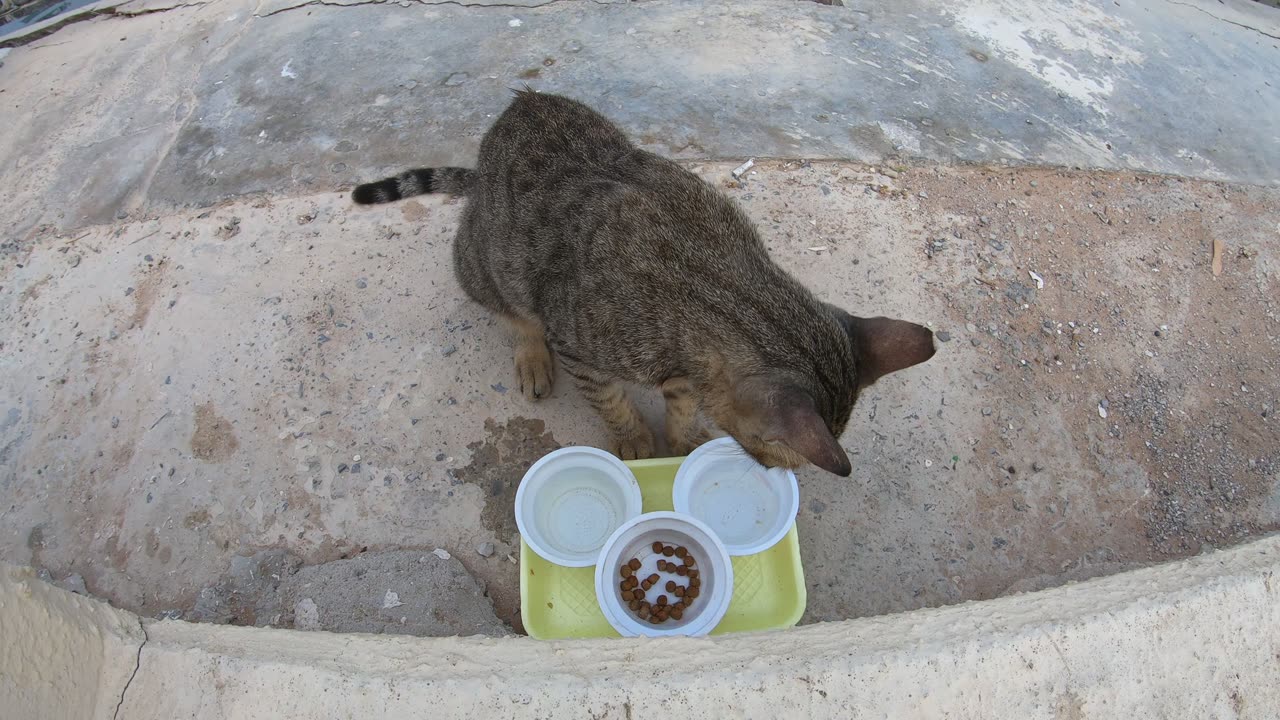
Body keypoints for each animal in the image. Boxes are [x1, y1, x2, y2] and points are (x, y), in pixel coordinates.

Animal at [355, 89, 936, 474]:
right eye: (770, 444)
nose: (781, 471)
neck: (719, 279)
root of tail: (522, 100)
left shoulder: (685, 368)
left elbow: (682, 401)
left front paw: (683, 436)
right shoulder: (580, 345)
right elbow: (609, 399)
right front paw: (634, 438)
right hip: (484, 263)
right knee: (512, 311)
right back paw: (530, 353)